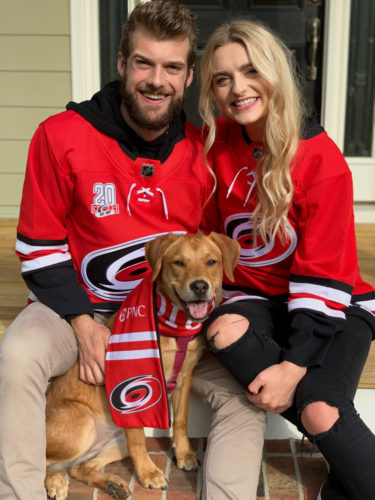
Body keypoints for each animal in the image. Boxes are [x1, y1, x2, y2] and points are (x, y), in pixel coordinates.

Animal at [44, 232, 241, 498]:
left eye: (211, 262)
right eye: (178, 262)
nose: (200, 286)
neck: (174, 327)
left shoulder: (184, 378)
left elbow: (181, 419)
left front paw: (184, 454)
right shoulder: (132, 389)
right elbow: (138, 439)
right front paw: (148, 473)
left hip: (115, 442)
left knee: (78, 468)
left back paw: (111, 484)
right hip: (83, 423)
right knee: (41, 459)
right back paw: (55, 481)